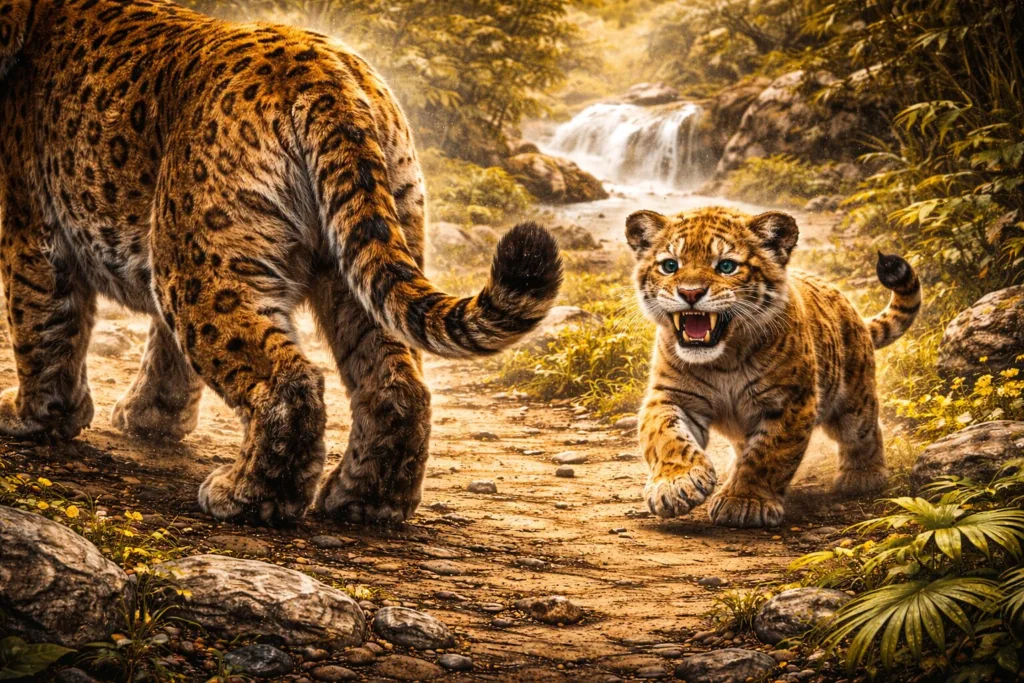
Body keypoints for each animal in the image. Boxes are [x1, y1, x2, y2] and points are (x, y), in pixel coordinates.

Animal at [0, 0, 562, 525]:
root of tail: (326, 75)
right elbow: (151, 348)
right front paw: (150, 419)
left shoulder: (30, 226)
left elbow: (41, 323)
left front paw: (35, 418)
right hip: (358, 257)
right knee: (396, 382)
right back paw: (366, 500)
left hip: (207, 267)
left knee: (288, 381)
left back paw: (250, 496)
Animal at [626, 207, 920, 527]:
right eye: (670, 266)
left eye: (726, 266)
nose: (690, 293)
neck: (724, 359)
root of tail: (847, 303)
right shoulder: (670, 395)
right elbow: (665, 436)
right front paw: (677, 484)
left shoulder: (791, 401)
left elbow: (768, 454)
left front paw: (744, 502)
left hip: (854, 400)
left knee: (864, 430)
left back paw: (864, 477)